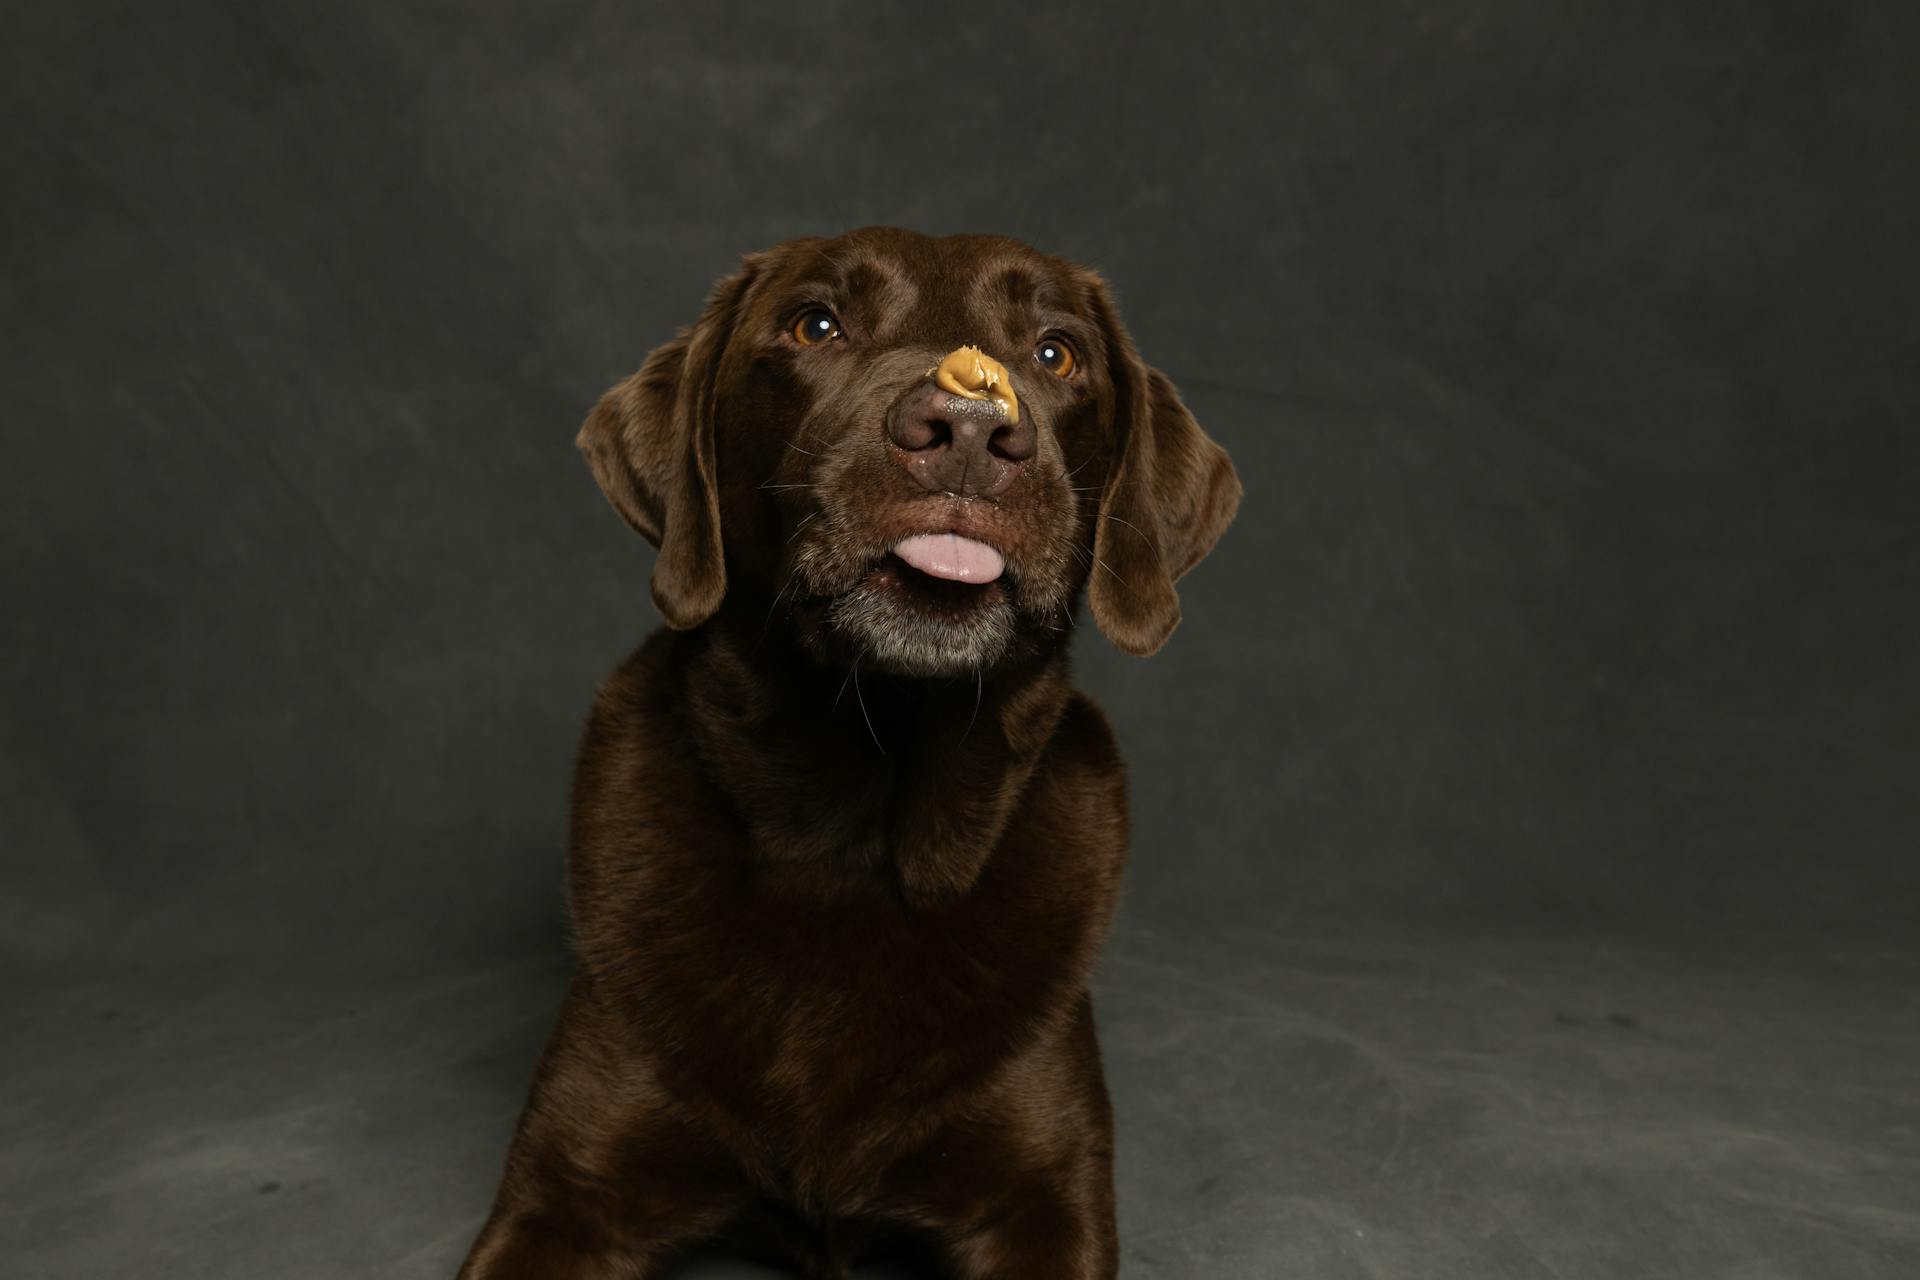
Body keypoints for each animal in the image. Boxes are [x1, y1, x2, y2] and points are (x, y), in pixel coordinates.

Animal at [460, 225, 1244, 1274]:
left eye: (1056, 353)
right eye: (816, 325)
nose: (969, 431)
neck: (854, 826)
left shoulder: (1045, 1198)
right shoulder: (565, 1193)